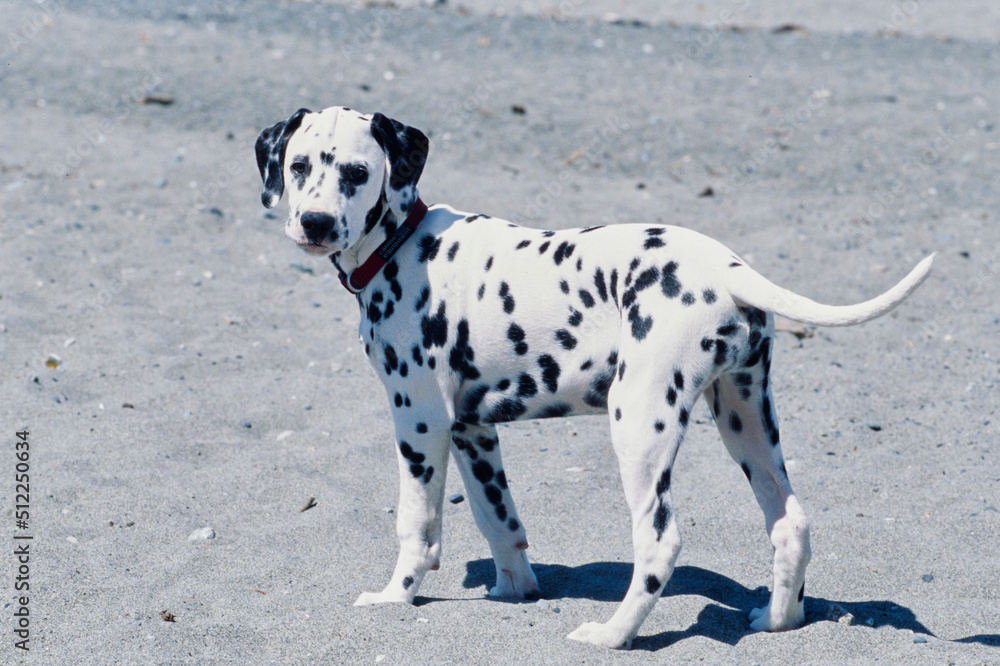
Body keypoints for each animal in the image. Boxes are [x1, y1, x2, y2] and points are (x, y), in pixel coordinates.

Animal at [254, 106, 932, 644]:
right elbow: (500, 521)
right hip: (745, 421)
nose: (314, 223)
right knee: (790, 522)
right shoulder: (472, 431)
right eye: (298, 166)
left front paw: (396, 595)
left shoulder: (419, 422)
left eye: (355, 172)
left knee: (660, 542)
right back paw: (777, 619)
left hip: (637, 424)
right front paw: (515, 590)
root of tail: (727, 266)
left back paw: (613, 635)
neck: (404, 246)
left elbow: (416, 525)